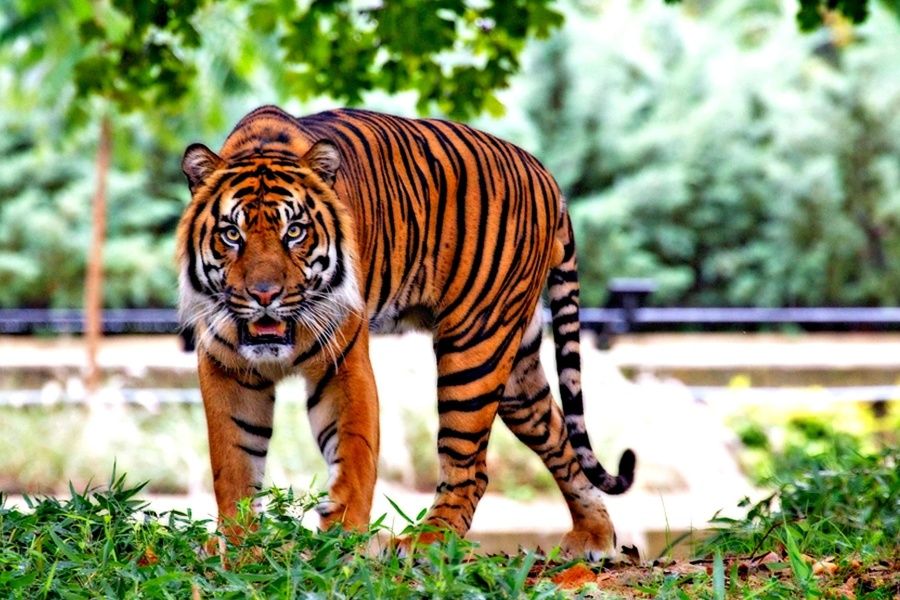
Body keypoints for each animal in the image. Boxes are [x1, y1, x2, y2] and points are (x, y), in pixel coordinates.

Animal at [177, 105, 636, 558]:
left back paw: (425, 542)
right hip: (516, 369)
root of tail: (545, 173)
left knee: (471, 467)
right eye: (232, 234)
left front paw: (341, 544)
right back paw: (594, 536)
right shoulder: (225, 367)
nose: (264, 295)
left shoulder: (343, 363)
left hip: (474, 348)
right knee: (558, 437)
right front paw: (241, 546)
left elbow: (353, 455)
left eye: (294, 232)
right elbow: (234, 463)